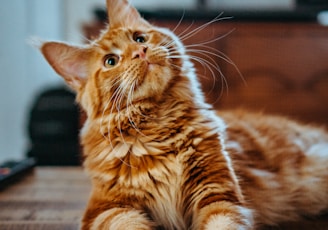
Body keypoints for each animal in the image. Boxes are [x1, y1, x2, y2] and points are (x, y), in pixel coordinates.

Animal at [39, 0, 328, 229]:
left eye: (139, 38)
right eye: (111, 61)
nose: (140, 52)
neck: (159, 127)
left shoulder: (218, 195)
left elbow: (224, 224)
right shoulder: (108, 209)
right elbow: (128, 224)